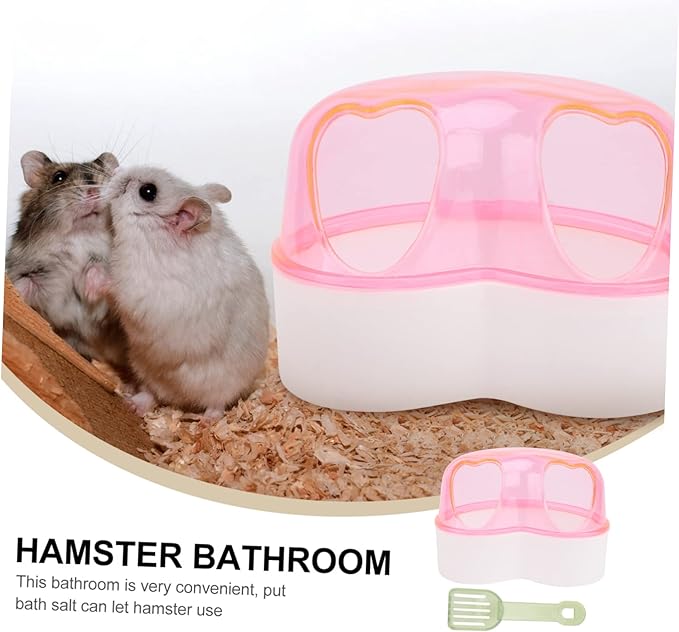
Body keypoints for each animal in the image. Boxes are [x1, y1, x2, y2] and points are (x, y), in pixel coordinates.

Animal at [6, 150, 127, 368]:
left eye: (106, 175)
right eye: (59, 177)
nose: (94, 190)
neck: (80, 237)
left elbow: (99, 269)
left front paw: (89, 291)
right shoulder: (30, 271)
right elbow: (25, 283)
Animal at [103, 166, 269, 418]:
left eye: (148, 191)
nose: (117, 170)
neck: (153, 240)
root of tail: (181, 399)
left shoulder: (142, 293)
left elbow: (115, 289)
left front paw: (92, 277)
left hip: (225, 383)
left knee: (217, 404)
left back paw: (206, 420)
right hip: (144, 367)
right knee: (150, 393)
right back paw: (133, 403)